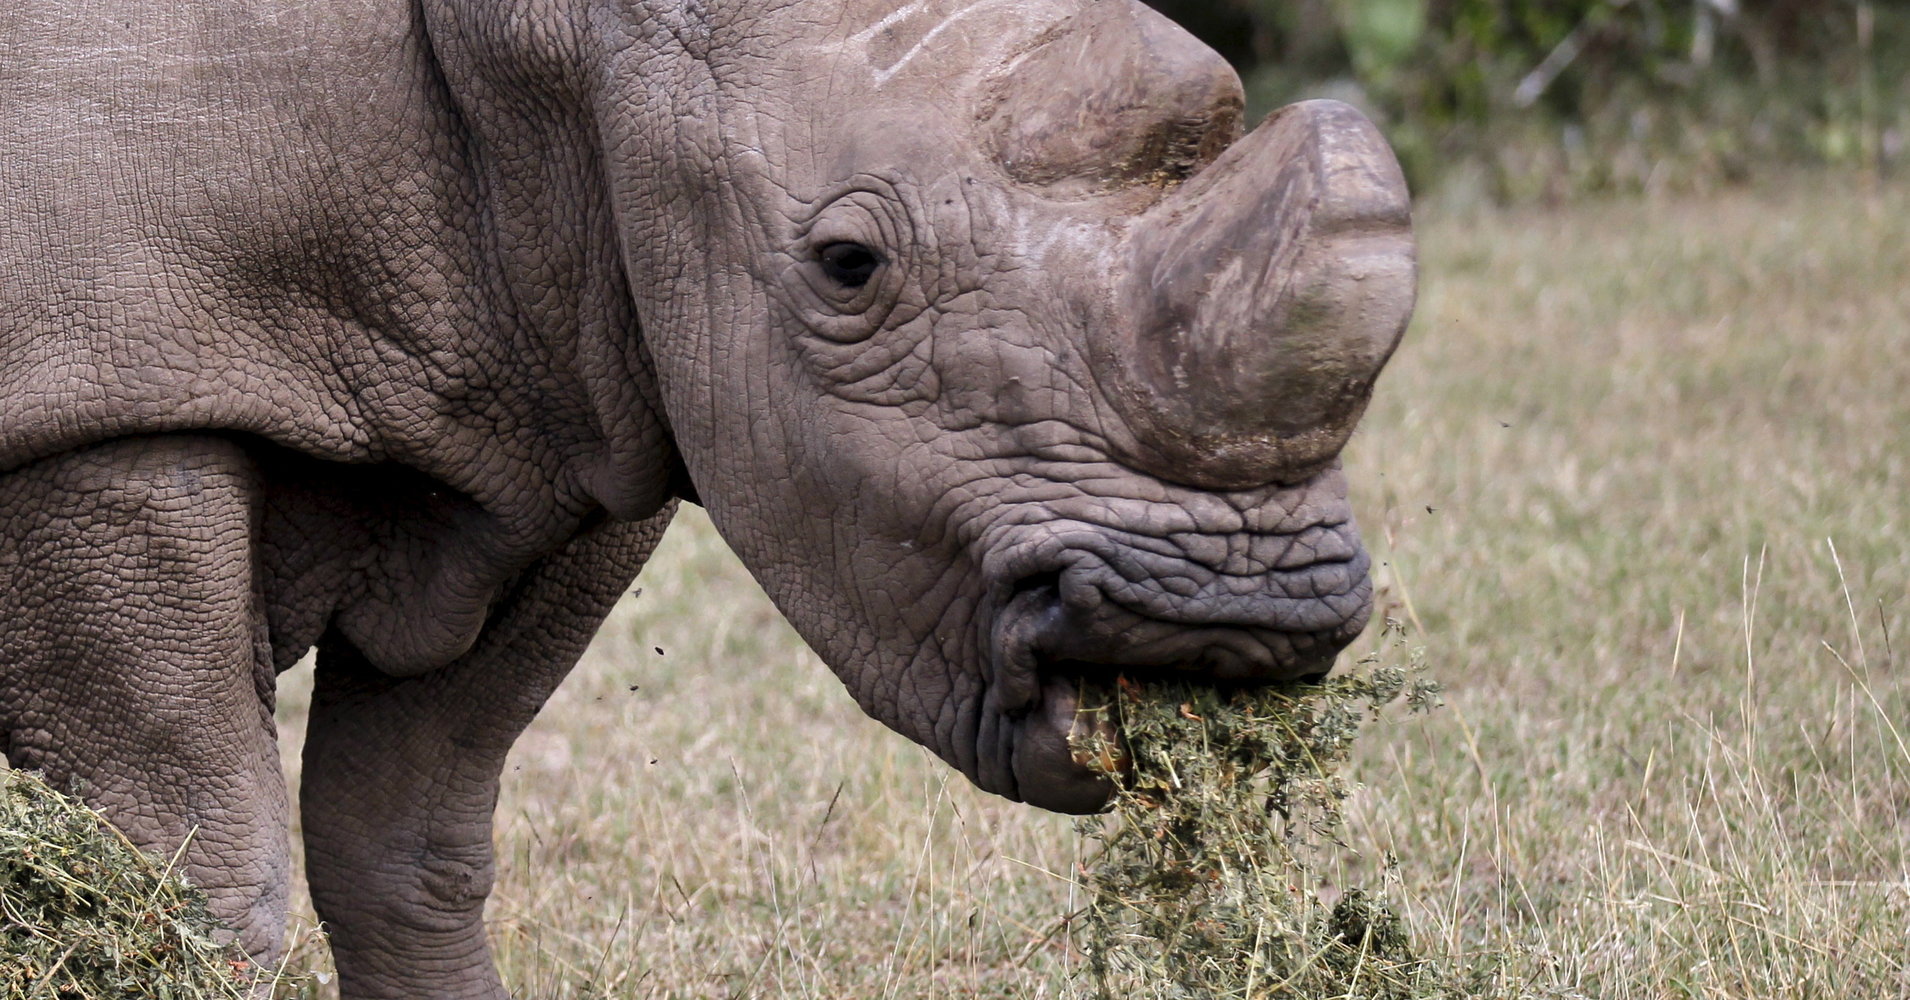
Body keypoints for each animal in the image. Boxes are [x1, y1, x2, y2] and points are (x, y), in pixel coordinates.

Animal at [0, 0, 1414, 994]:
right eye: (846, 265)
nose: (1232, 622)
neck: (565, 42)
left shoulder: (566, 380)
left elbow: (408, 840)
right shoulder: (103, 396)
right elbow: (191, 873)